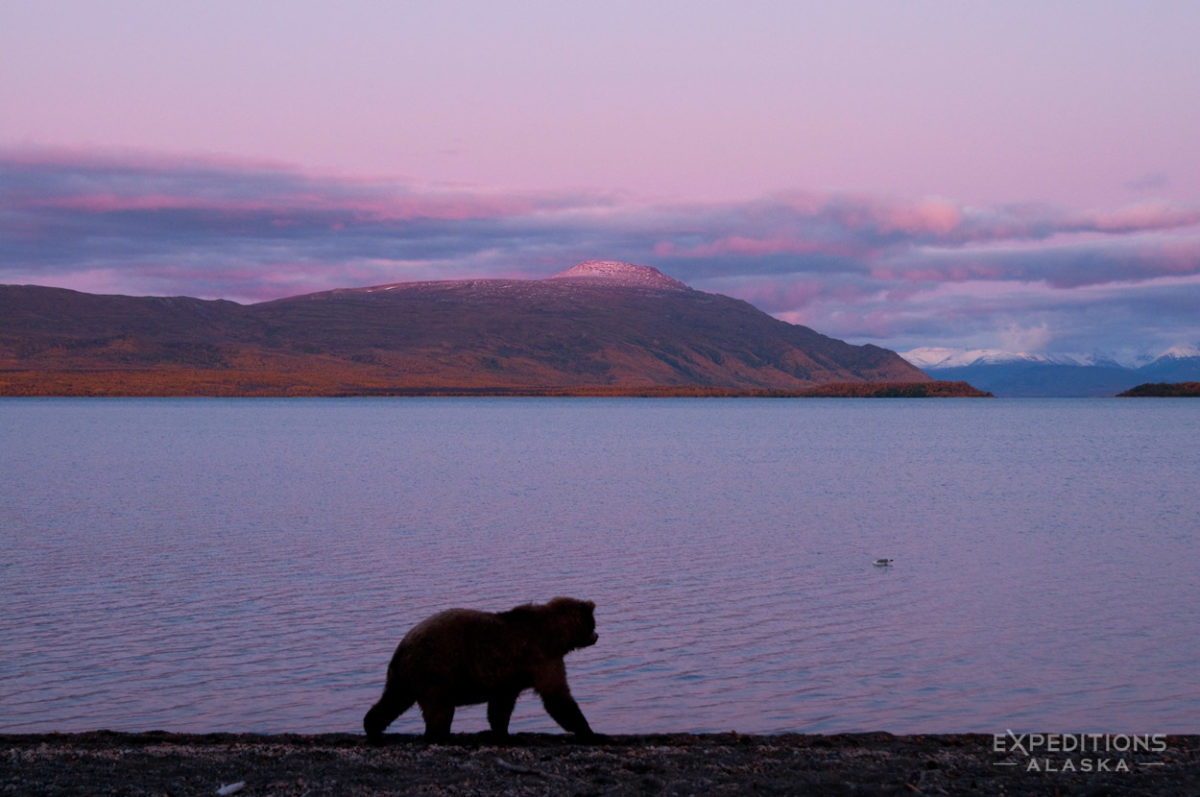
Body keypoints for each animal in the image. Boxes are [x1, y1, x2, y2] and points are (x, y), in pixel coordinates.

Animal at [363, 596, 599, 741]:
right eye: (593, 623)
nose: (597, 636)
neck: (555, 635)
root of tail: (402, 646)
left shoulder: (508, 677)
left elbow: (500, 706)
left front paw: (502, 733)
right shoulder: (541, 658)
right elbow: (557, 698)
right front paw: (587, 731)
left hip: (405, 676)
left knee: (393, 700)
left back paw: (372, 728)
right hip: (434, 673)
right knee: (439, 710)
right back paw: (440, 736)